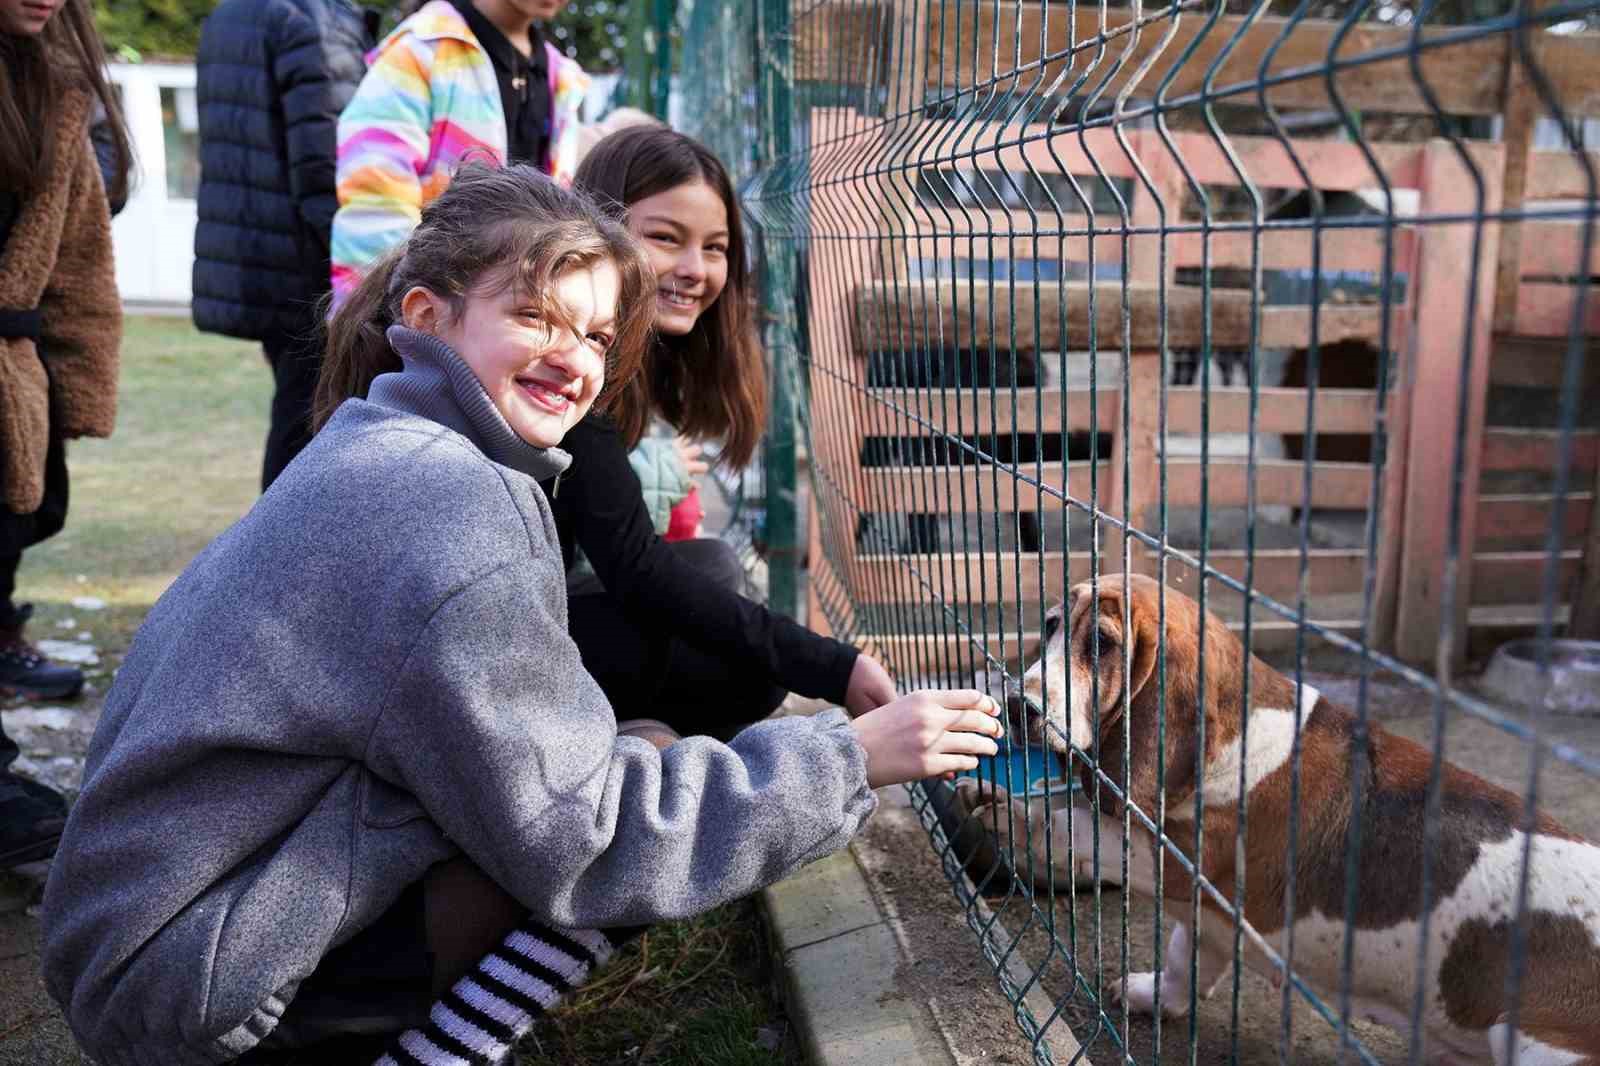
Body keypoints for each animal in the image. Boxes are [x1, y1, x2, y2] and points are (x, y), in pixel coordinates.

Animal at [953, 573, 1593, 1062]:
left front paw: (1003, 808)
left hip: (1537, 1043)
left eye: (1102, 645)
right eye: (1053, 625)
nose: (1016, 704)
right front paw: (1150, 994)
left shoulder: (1175, 856)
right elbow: (1185, 959)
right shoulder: (1206, 915)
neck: (1237, 735)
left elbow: (1076, 825)